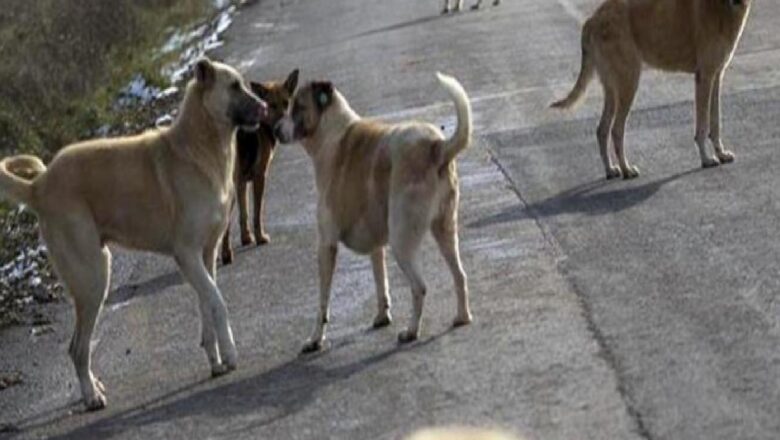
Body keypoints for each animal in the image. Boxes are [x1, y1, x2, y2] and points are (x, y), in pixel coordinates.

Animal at [0, 57, 268, 410]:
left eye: (245, 84)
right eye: (234, 86)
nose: (265, 108)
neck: (199, 145)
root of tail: (39, 186)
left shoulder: (205, 256)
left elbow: (207, 307)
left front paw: (216, 361)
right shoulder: (187, 255)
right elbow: (218, 303)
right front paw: (231, 353)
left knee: (79, 347)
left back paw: (94, 387)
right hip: (93, 278)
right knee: (76, 347)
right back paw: (91, 396)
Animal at [222, 69, 302, 264]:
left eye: (286, 103)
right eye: (271, 105)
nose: (283, 127)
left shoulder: (241, 183)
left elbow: (244, 214)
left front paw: (246, 238)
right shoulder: (259, 176)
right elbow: (257, 213)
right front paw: (260, 238)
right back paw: (226, 254)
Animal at [278, 74, 478, 352]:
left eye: (298, 107)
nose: (275, 130)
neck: (331, 132)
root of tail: (436, 146)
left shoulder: (326, 245)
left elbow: (322, 302)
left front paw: (315, 338)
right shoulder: (376, 244)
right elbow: (380, 281)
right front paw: (383, 316)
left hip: (401, 241)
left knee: (420, 287)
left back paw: (411, 331)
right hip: (445, 230)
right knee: (460, 275)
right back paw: (462, 317)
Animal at [552, 0, 752, 180]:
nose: (736, 2)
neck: (722, 7)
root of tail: (593, 19)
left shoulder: (716, 76)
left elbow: (716, 122)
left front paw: (721, 153)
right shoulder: (705, 77)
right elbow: (702, 126)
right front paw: (706, 159)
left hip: (613, 88)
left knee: (602, 129)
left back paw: (611, 170)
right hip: (629, 81)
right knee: (616, 129)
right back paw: (626, 169)